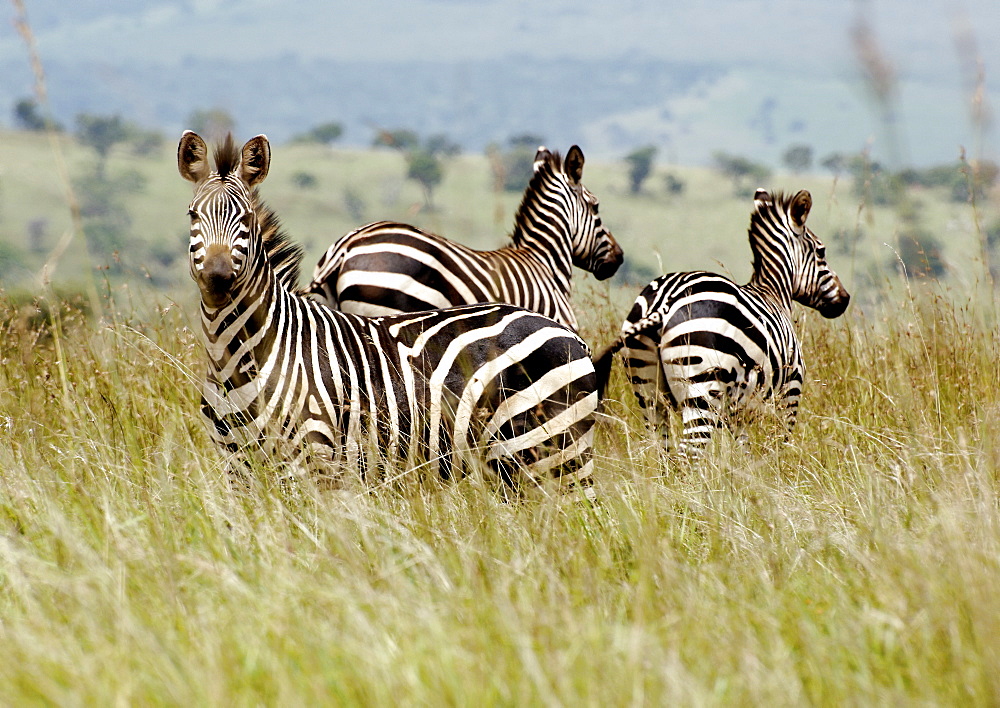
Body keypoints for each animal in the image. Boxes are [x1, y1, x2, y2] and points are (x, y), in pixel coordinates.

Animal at [592, 188, 852, 454]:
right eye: (821, 252)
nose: (845, 299)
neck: (774, 293)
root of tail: (664, 302)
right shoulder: (790, 392)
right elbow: (777, 448)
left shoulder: (736, 414)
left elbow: (745, 452)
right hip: (701, 390)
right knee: (690, 452)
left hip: (647, 390)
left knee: (662, 449)